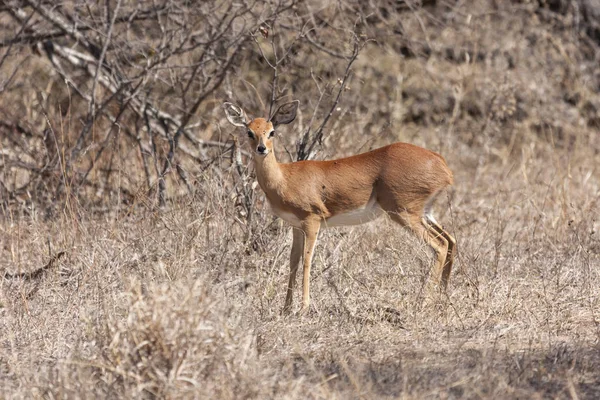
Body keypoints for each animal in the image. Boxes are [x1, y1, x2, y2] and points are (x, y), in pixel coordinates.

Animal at [224, 101, 454, 314]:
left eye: (272, 131)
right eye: (249, 131)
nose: (261, 149)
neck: (284, 178)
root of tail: (442, 164)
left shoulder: (312, 221)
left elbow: (307, 261)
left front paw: (304, 307)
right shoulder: (295, 226)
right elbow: (293, 262)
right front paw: (286, 308)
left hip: (403, 213)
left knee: (439, 245)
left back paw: (425, 302)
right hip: (423, 213)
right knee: (450, 240)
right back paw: (443, 297)